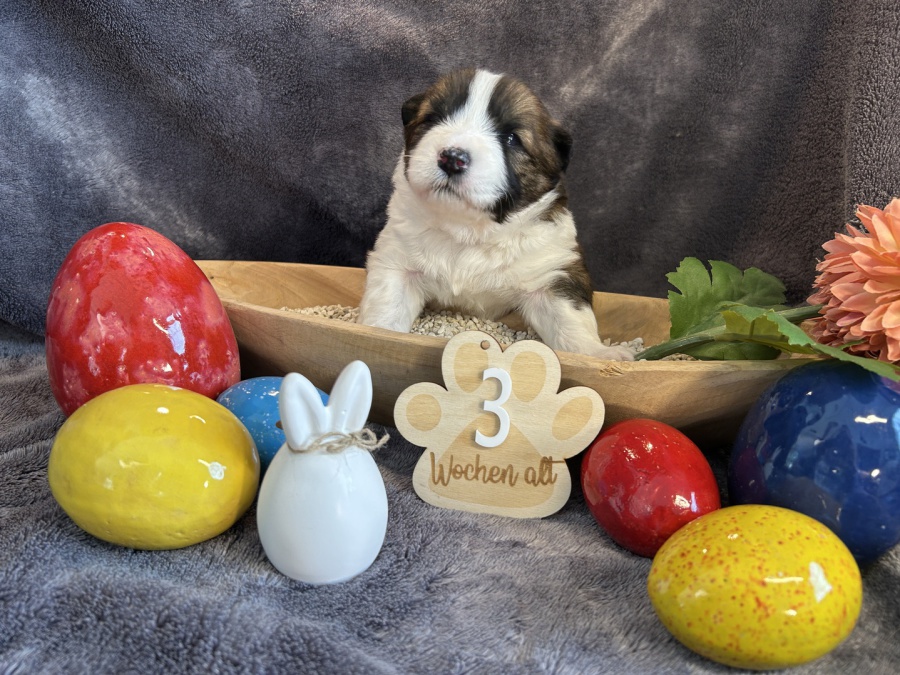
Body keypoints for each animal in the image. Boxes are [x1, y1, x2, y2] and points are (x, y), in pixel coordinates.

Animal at [358, 68, 634, 361]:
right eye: (433, 119)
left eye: (511, 138)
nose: (452, 158)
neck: (469, 232)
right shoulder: (397, 264)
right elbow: (386, 307)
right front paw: (376, 332)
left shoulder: (552, 275)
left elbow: (571, 321)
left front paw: (599, 354)